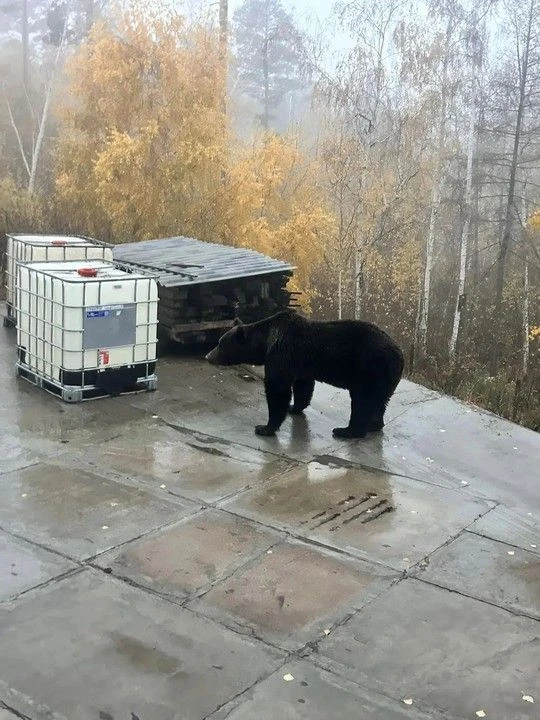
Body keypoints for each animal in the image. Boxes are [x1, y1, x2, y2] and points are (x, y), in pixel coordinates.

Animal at [205, 310, 404, 439]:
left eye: (220, 344)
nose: (208, 356)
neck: (265, 342)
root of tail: (400, 354)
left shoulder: (281, 353)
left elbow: (278, 388)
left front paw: (265, 427)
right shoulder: (301, 364)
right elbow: (303, 385)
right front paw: (294, 407)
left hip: (370, 369)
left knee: (362, 400)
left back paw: (346, 430)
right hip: (383, 377)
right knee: (380, 401)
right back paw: (373, 424)